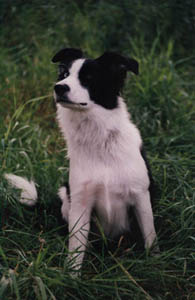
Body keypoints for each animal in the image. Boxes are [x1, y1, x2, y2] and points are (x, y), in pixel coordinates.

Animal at [5, 48, 158, 276]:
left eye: (88, 78)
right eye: (63, 74)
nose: (59, 87)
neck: (100, 141)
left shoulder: (140, 195)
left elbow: (150, 236)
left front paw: (154, 262)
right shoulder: (80, 202)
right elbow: (76, 248)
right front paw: (71, 278)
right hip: (64, 194)